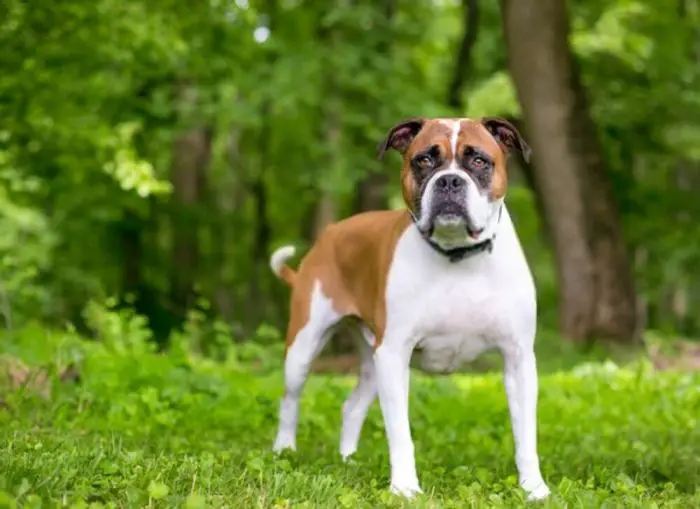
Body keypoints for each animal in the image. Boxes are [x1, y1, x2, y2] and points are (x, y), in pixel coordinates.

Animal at [270, 116, 548, 500]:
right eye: (424, 160)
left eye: (479, 160)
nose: (449, 180)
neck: (458, 257)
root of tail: (330, 233)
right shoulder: (394, 355)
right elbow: (400, 434)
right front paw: (404, 487)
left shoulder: (519, 359)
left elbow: (526, 436)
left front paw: (534, 487)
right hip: (305, 347)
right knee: (290, 400)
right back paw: (284, 451)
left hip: (372, 362)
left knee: (351, 407)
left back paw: (348, 462)